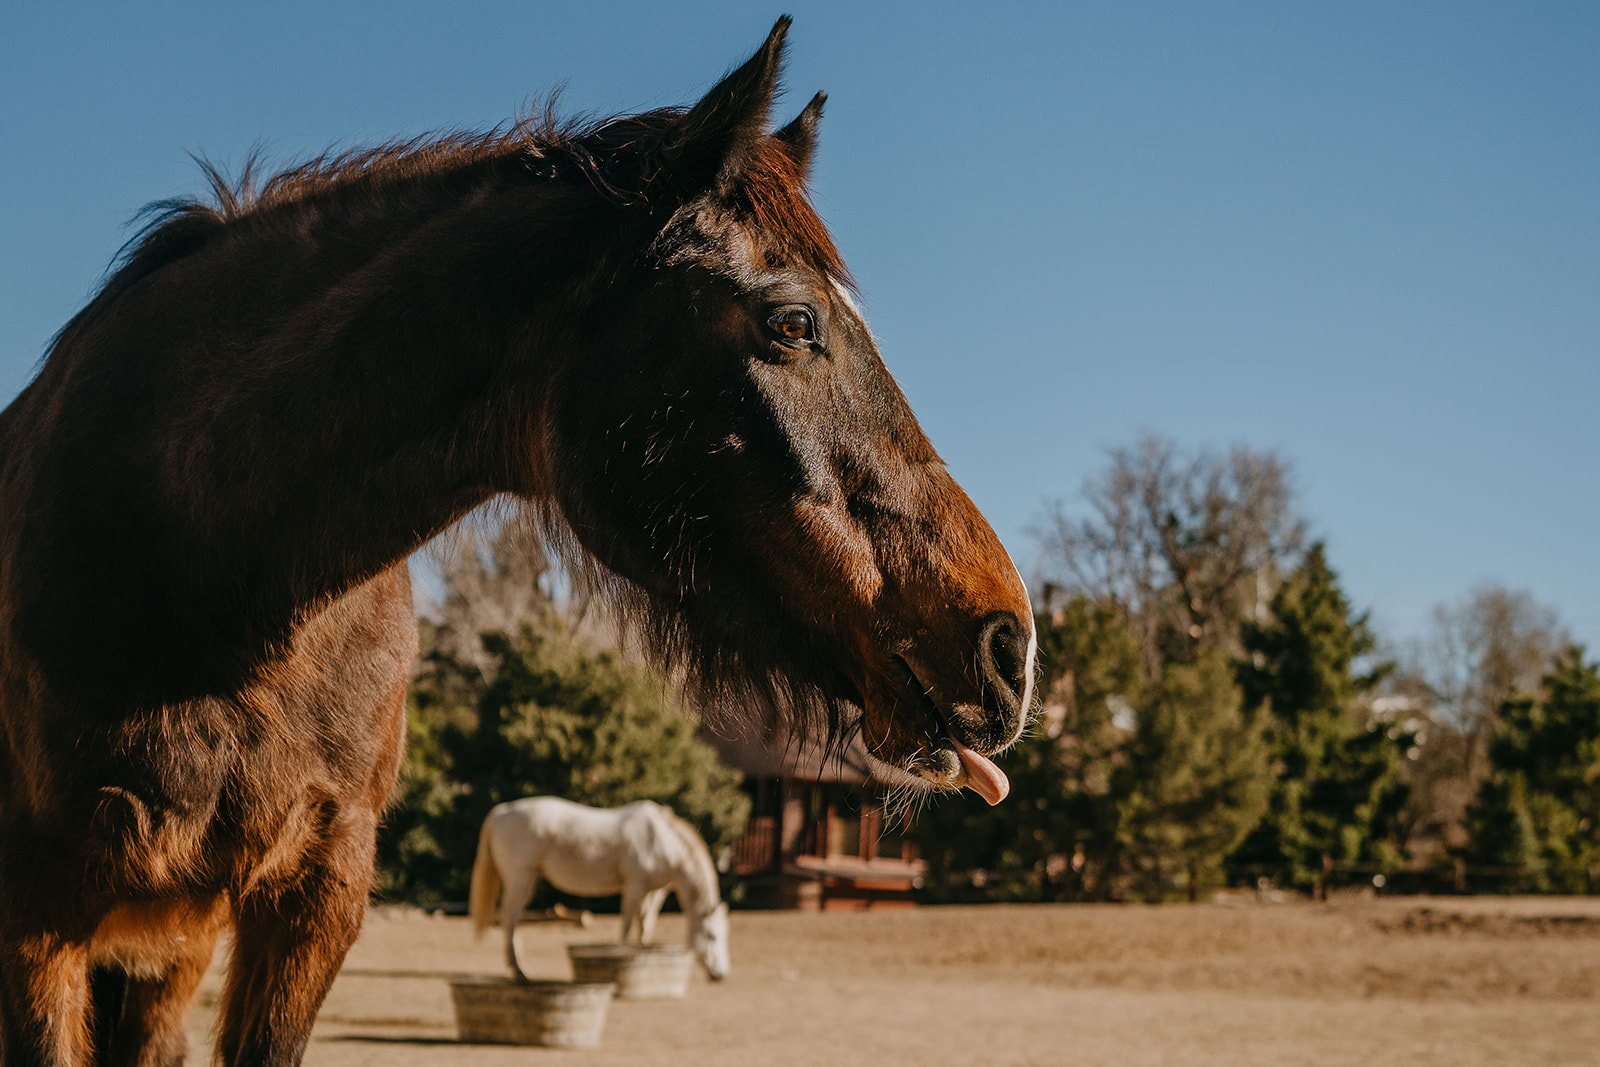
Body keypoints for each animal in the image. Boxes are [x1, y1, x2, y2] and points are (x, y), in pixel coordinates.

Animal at [469, 797, 730, 981]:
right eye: (712, 935)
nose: (720, 975)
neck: (663, 840)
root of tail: (501, 811)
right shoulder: (635, 884)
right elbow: (627, 923)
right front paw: (621, 958)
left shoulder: (655, 890)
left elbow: (645, 924)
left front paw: (644, 954)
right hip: (519, 877)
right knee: (510, 917)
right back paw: (519, 970)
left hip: (531, 879)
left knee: (513, 917)